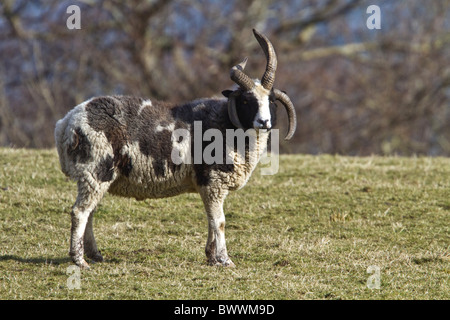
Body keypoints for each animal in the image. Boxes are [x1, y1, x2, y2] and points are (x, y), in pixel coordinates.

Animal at [54, 29, 298, 268]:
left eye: (271, 101)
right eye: (247, 101)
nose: (264, 122)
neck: (226, 124)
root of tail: (67, 123)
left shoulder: (207, 186)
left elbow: (211, 221)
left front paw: (211, 257)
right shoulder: (213, 181)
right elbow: (219, 222)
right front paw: (225, 260)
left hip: (95, 176)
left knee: (90, 212)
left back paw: (94, 255)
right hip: (95, 170)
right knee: (80, 212)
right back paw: (79, 260)